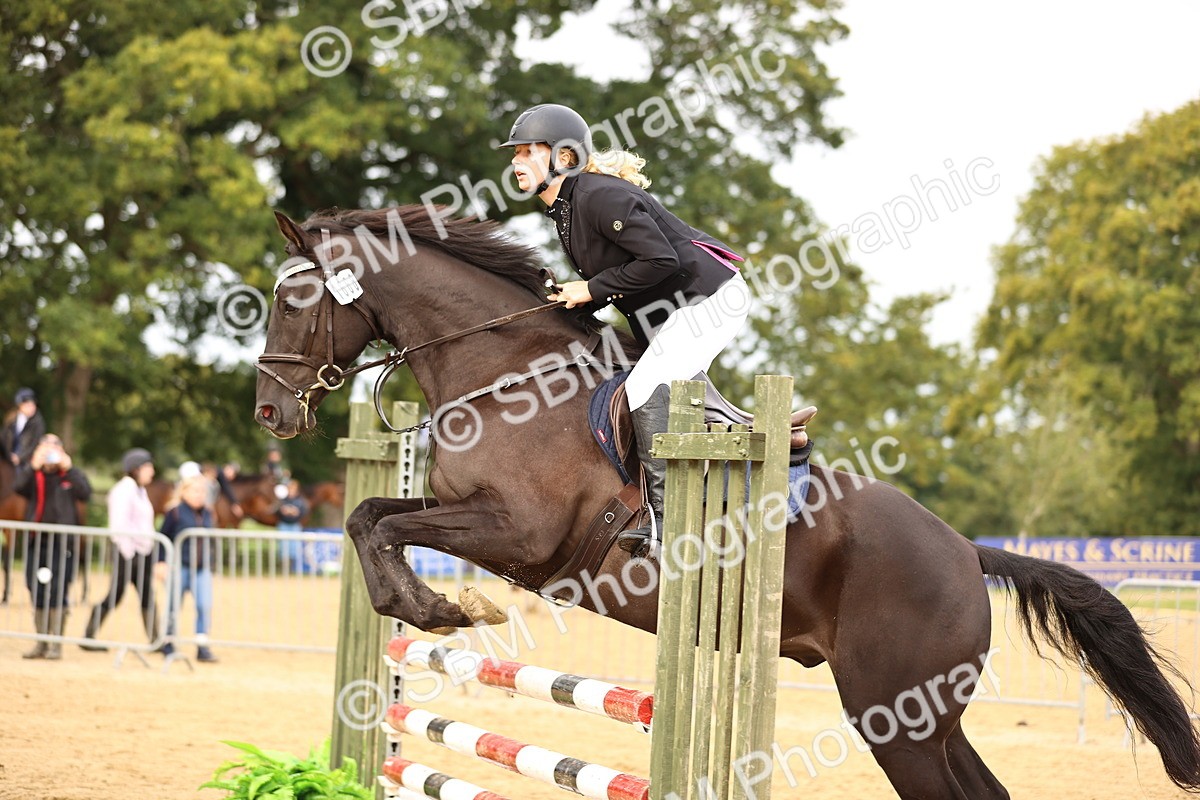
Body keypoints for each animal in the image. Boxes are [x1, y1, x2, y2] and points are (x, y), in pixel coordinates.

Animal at [252, 206, 1200, 798]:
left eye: (293, 300)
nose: (270, 412)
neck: (504, 374)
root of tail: (968, 552)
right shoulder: (473, 520)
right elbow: (369, 520)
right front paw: (432, 605)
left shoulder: (517, 532)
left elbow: (377, 526)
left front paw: (444, 608)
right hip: (922, 716)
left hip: (897, 715)